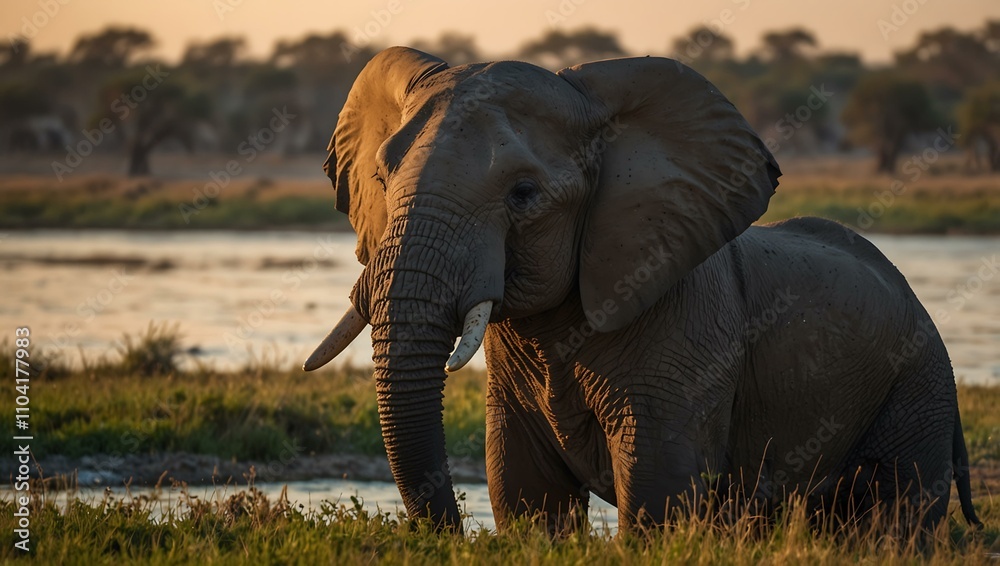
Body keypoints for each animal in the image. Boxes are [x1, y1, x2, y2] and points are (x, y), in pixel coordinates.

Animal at [303, 46, 982, 534]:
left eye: (523, 194)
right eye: (382, 178)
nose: (448, 535)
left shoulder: (687, 334)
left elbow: (658, 490)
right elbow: (524, 492)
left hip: (918, 385)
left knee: (897, 520)